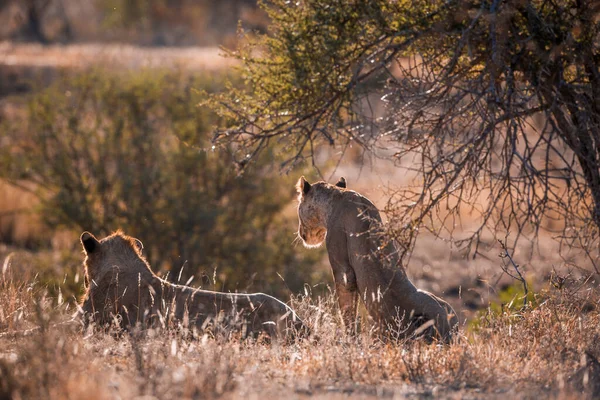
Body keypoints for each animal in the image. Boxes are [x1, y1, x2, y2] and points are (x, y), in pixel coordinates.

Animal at [296, 177, 460, 342]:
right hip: (445, 306)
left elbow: (347, 309)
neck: (337, 196)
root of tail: (448, 332)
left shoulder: (342, 268)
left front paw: (348, 339)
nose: (300, 233)